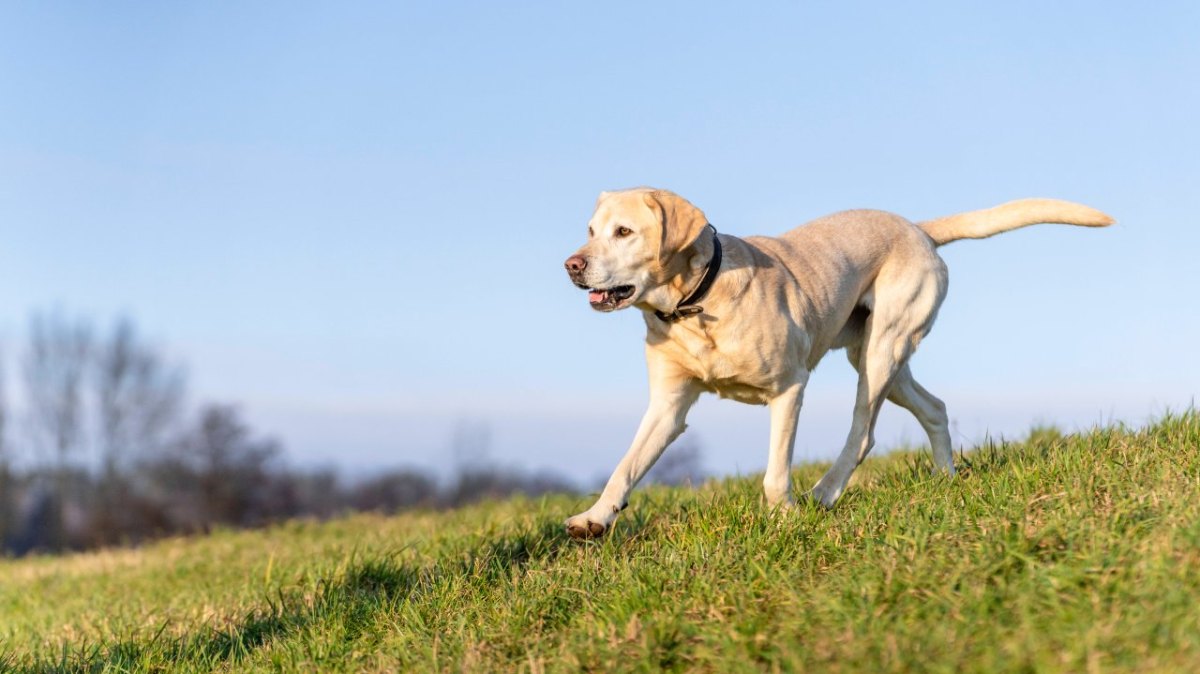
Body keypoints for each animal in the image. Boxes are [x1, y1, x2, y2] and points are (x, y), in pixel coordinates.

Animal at [561, 187, 1113, 534]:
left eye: (624, 232)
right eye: (590, 229)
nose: (572, 265)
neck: (697, 303)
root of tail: (917, 228)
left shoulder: (789, 388)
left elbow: (775, 473)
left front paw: (783, 518)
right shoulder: (668, 407)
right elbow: (626, 466)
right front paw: (596, 517)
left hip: (882, 351)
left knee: (862, 434)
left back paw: (825, 492)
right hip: (875, 356)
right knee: (933, 408)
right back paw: (946, 479)